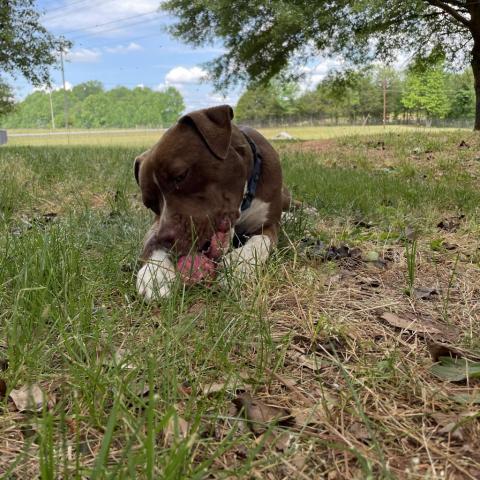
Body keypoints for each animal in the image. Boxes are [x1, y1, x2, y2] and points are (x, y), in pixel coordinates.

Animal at [134, 105, 288, 300]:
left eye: (181, 176)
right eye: (150, 204)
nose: (166, 239)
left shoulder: (268, 225)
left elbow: (259, 241)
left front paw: (239, 264)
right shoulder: (157, 225)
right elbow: (151, 242)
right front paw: (155, 273)